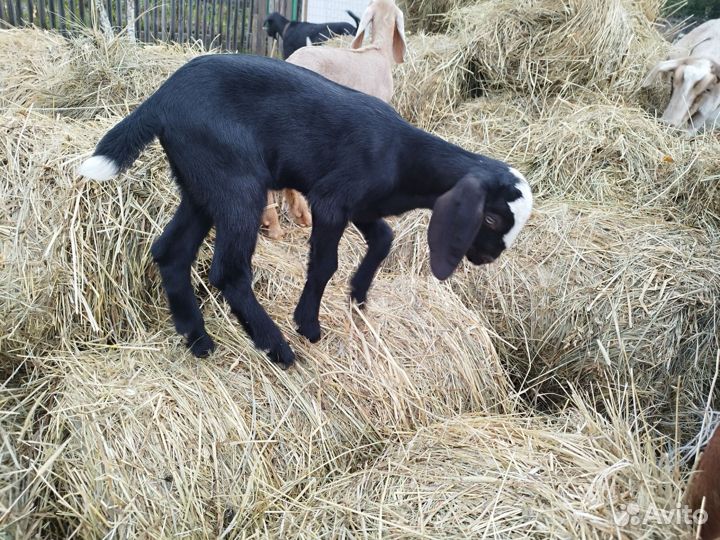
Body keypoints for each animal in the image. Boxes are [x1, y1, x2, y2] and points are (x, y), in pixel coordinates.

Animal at [77, 54, 533, 368]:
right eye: (491, 217)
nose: (489, 256)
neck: (403, 157)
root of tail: (162, 98)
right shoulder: (332, 200)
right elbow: (325, 263)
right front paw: (308, 324)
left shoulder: (361, 205)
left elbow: (384, 239)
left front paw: (358, 296)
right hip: (238, 183)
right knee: (229, 271)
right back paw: (276, 346)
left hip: (201, 186)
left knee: (171, 252)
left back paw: (198, 340)